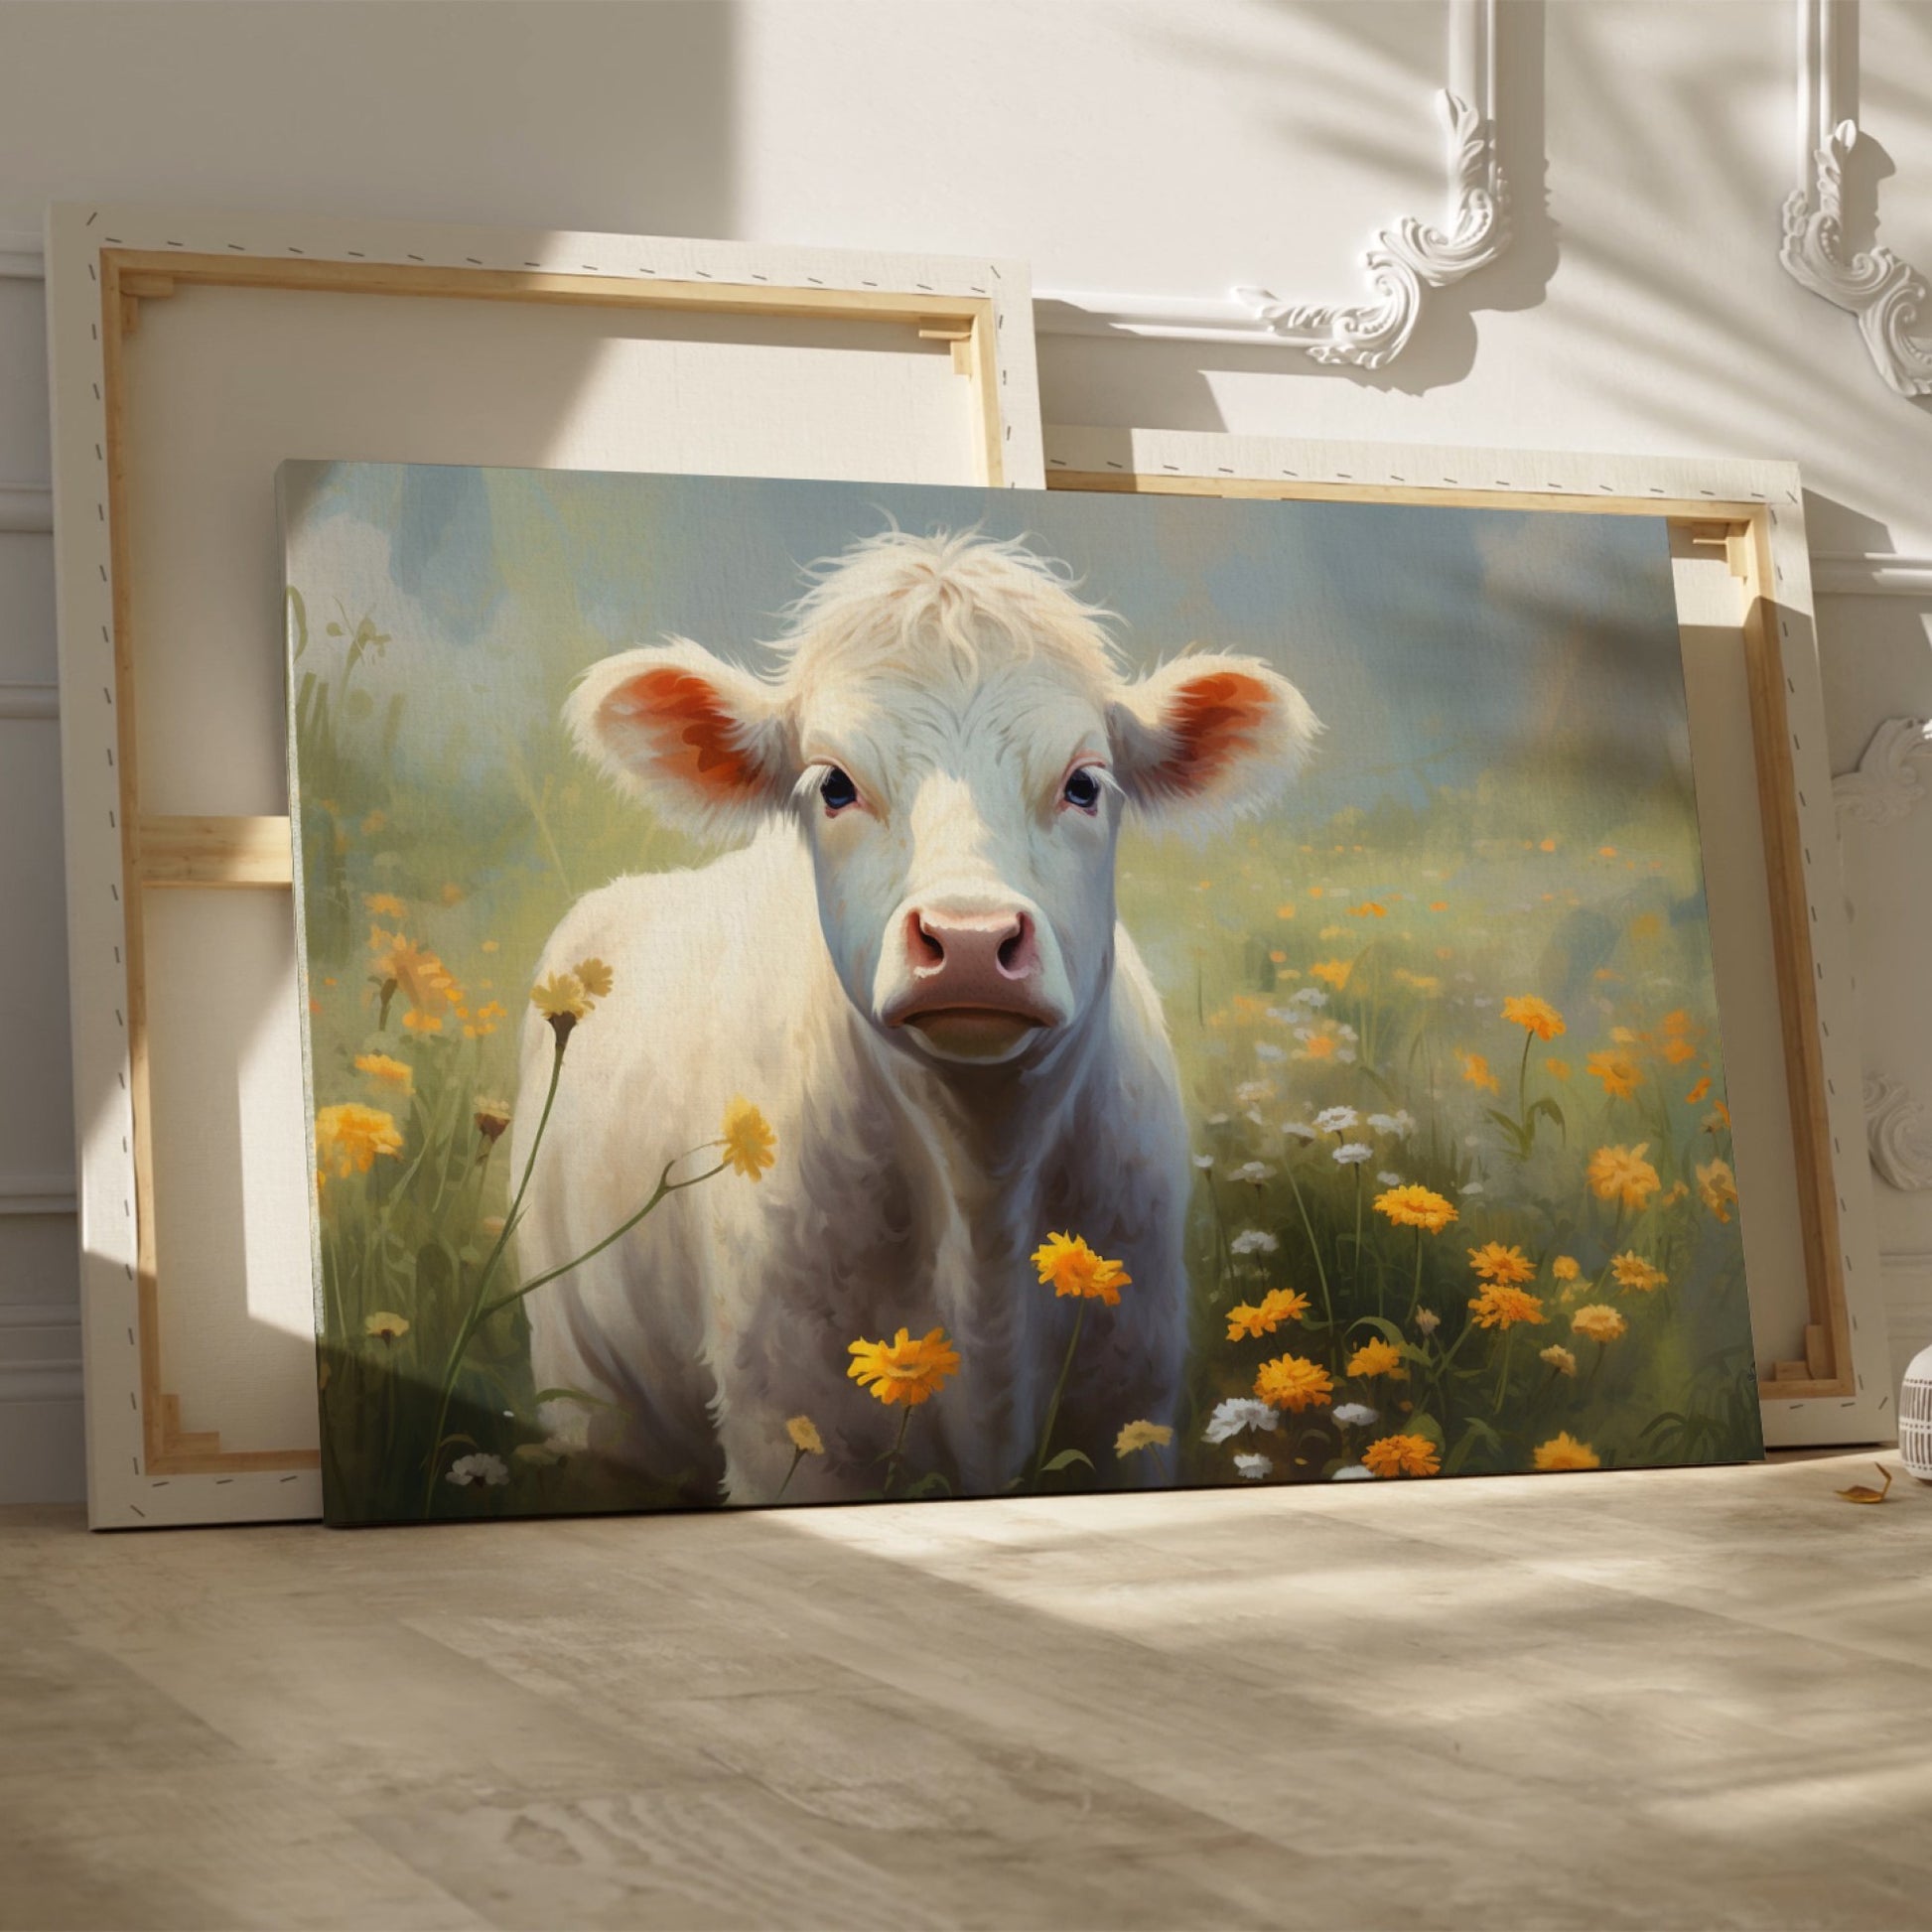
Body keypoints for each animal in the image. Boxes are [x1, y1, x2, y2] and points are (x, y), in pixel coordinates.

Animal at [505, 533, 1321, 1506]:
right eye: (833, 784)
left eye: (1086, 783)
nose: (968, 940)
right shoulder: (791, 1430)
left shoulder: (1133, 1406)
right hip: (584, 1390)